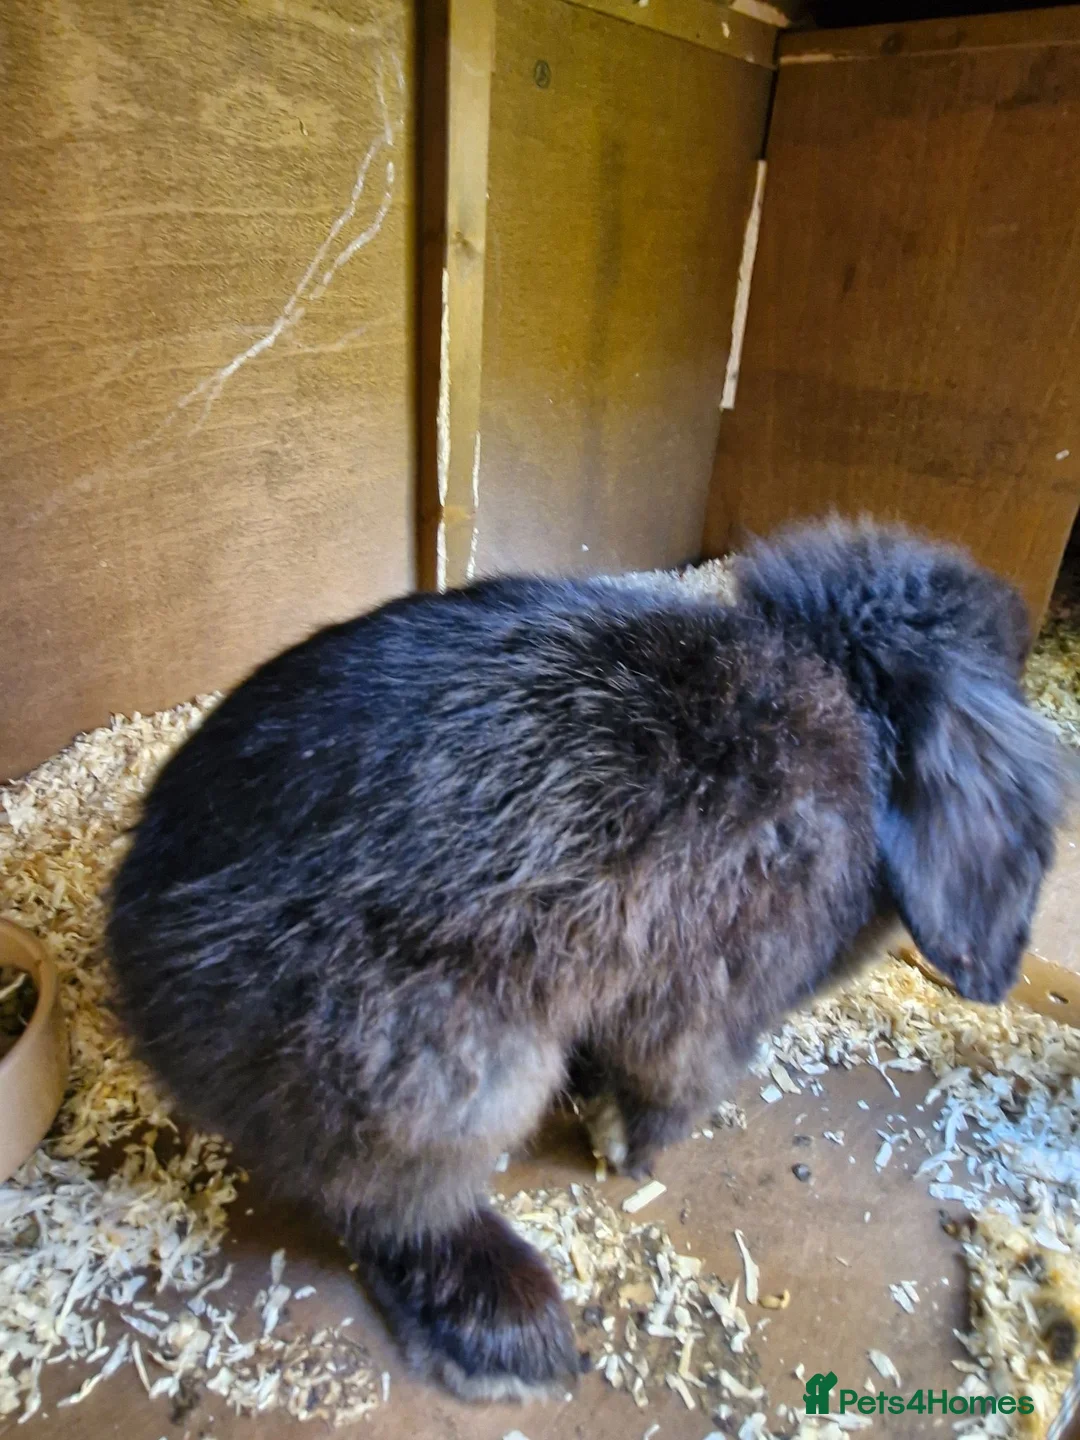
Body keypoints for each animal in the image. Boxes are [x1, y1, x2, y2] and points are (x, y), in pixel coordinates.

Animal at [107, 517, 1065, 1403]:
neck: (845, 694)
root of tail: (141, 957)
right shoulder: (708, 996)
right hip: (443, 1070)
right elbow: (672, 1080)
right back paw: (510, 1332)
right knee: (387, 1210)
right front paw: (635, 1155)